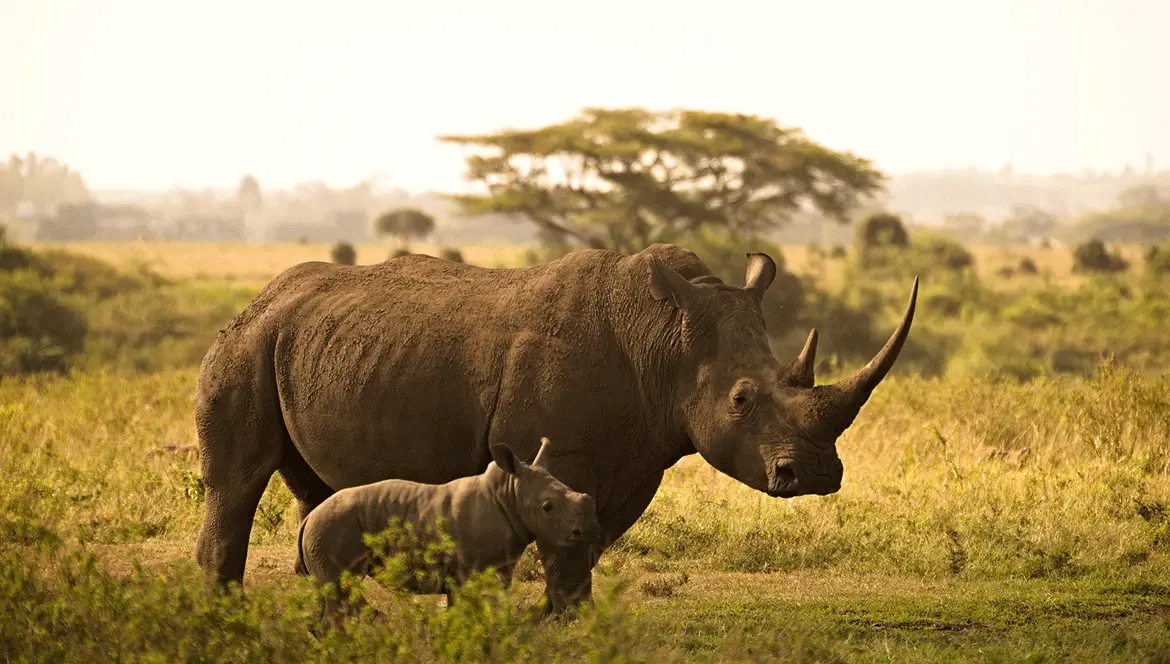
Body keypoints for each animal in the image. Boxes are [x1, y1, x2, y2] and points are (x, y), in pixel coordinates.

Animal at [297, 437, 599, 619]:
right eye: (548, 507)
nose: (587, 531)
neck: (509, 493)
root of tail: (307, 520)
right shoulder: (475, 569)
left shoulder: (485, 569)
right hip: (332, 528)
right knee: (339, 593)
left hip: (326, 529)